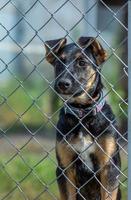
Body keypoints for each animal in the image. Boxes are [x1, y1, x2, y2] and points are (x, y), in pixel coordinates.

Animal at [44, 37, 121, 200]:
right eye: (59, 62)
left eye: (82, 63)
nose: (62, 84)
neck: (82, 115)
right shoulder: (65, 168)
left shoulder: (109, 168)